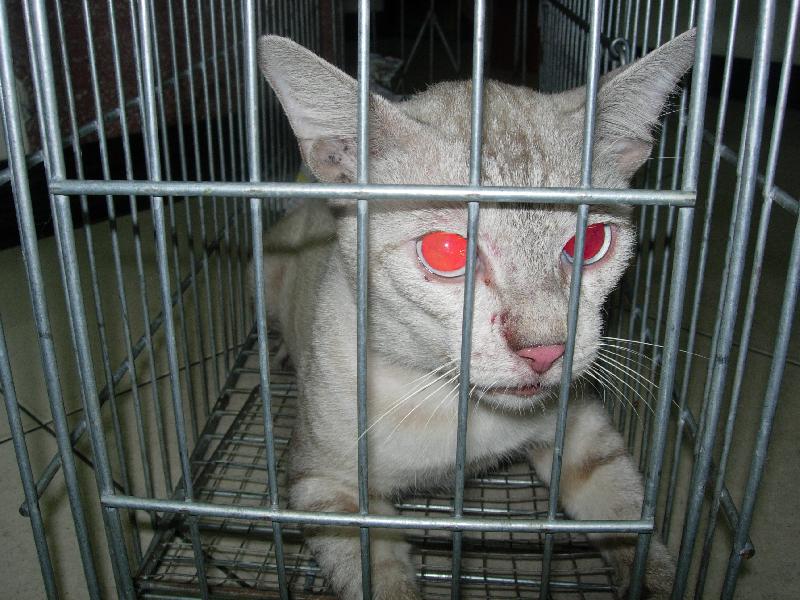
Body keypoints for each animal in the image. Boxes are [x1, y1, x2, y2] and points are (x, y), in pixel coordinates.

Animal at [255, 29, 696, 600]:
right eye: (447, 251)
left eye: (592, 241)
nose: (545, 350)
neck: (460, 413)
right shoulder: (326, 487)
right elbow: (380, 578)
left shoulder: (581, 429)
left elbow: (625, 515)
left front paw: (654, 580)